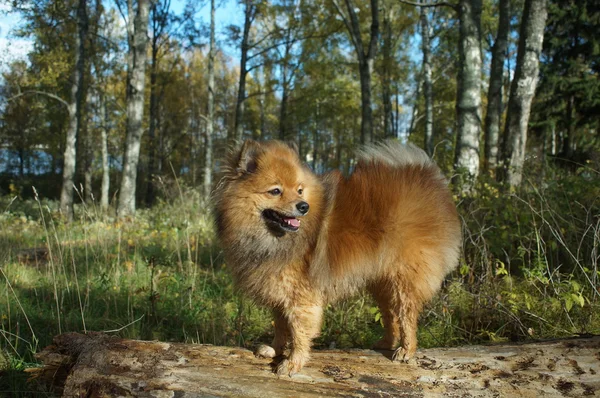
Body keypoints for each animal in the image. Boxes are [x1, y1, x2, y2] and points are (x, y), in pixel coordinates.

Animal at [213, 138, 462, 374]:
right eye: (275, 191)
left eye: (299, 190)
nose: (303, 206)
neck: (272, 239)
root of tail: (429, 179)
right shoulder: (278, 291)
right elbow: (280, 326)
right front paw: (274, 349)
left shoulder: (299, 297)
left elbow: (298, 331)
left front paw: (292, 363)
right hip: (381, 281)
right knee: (390, 313)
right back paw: (386, 343)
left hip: (404, 279)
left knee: (406, 315)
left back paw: (406, 350)